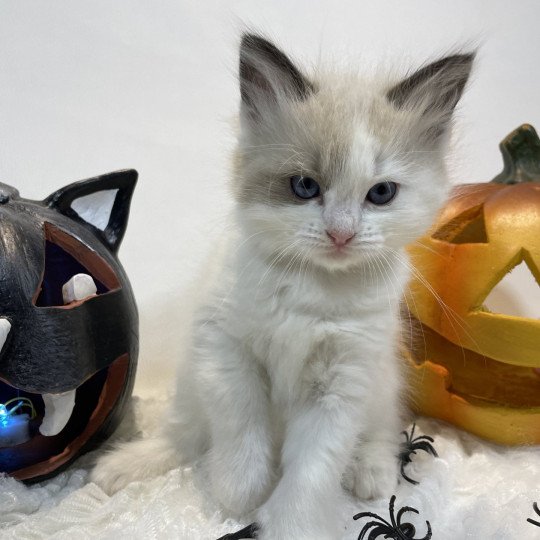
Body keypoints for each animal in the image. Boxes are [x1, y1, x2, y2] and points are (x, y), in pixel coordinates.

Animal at [92, 33, 472, 540]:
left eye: (381, 194)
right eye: (305, 186)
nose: (341, 234)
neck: (313, 288)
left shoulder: (342, 384)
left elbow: (311, 471)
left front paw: (290, 524)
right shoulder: (226, 351)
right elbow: (241, 428)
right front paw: (238, 491)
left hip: (381, 382)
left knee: (381, 429)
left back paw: (371, 472)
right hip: (190, 379)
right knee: (185, 434)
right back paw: (123, 466)